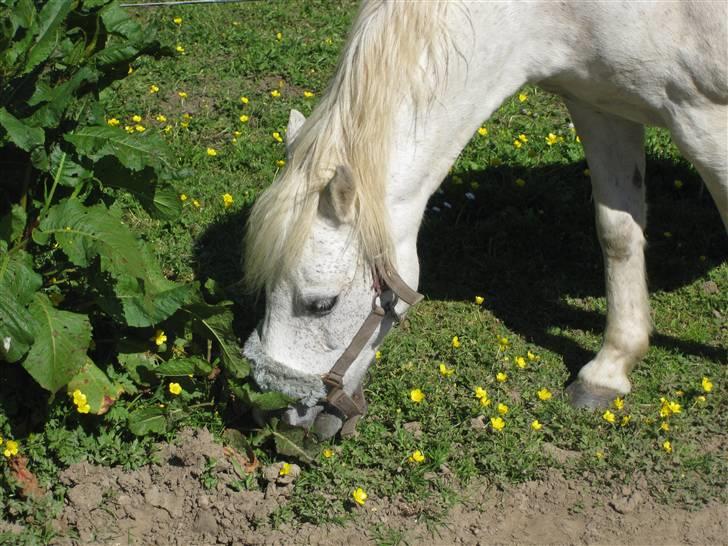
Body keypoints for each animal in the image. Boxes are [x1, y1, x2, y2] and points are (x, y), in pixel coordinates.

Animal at [242, 1, 727, 438]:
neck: (555, 12)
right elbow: (618, 234)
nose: (277, 414)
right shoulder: (599, 104)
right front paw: (608, 370)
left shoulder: (705, 120)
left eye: (322, 304)